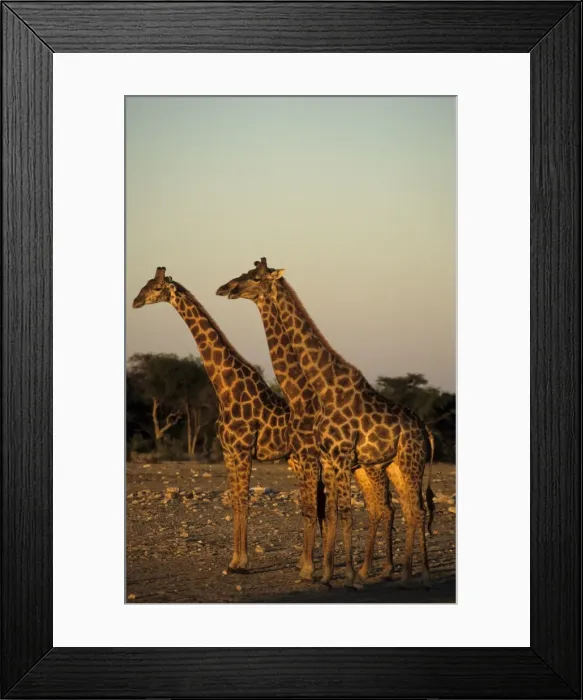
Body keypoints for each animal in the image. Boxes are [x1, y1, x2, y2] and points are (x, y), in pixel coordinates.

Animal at [132, 267, 294, 575]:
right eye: (144, 285)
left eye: (156, 288)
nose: (135, 301)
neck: (226, 388)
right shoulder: (229, 452)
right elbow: (235, 502)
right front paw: (233, 561)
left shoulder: (242, 451)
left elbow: (244, 501)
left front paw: (243, 563)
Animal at [234, 258, 435, 588]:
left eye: (255, 278)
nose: (226, 288)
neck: (323, 386)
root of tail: (425, 430)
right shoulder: (328, 459)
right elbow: (330, 513)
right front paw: (327, 575)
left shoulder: (338, 456)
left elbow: (343, 513)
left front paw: (348, 576)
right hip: (394, 465)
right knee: (407, 508)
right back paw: (407, 571)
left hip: (410, 462)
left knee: (414, 510)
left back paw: (413, 574)